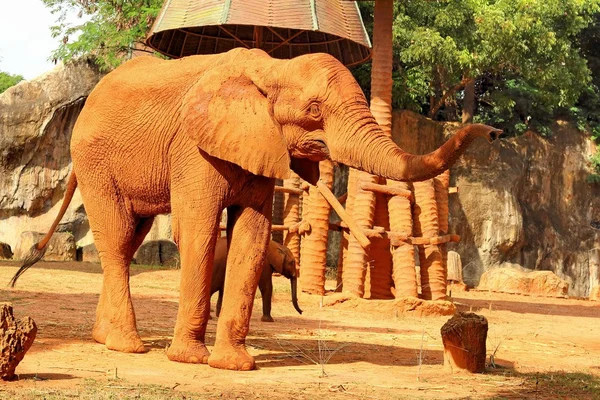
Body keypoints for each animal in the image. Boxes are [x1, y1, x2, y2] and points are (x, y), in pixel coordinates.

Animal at [10, 47, 502, 372]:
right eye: (314, 110)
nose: (495, 134)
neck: (271, 69)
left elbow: (251, 234)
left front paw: (233, 366)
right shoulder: (193, 147)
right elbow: (199, 229)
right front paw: (190, 360)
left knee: (131, 240)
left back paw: (106, 338)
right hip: (95, 159)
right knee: (115, 240)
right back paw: (127, 347)